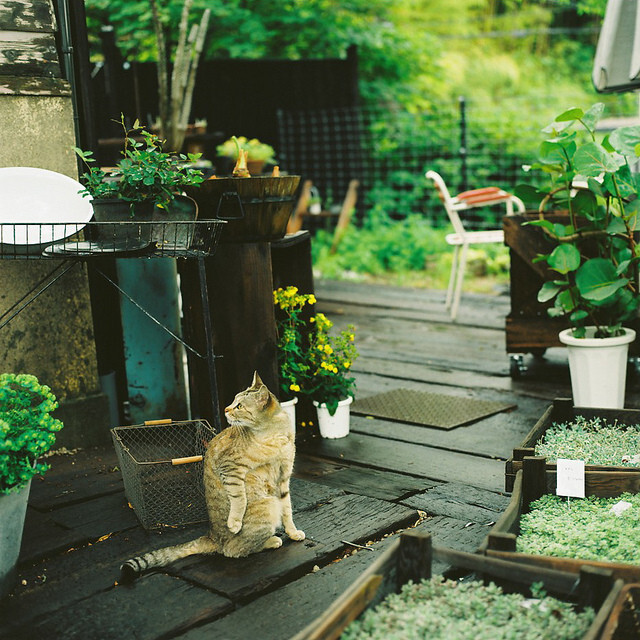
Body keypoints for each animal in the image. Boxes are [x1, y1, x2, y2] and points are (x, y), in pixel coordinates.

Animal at [122, 370, 308, 580]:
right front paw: (234, 522)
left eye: (239, 406)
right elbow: (239, 498)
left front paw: (293, 532)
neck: (274, 435)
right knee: (233, 550)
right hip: (267, 506)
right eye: (233, 401)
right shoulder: (230, 468)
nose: (226, 409)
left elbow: (287, 510)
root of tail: (212, 536)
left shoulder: (283, 478)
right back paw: (271, 541)